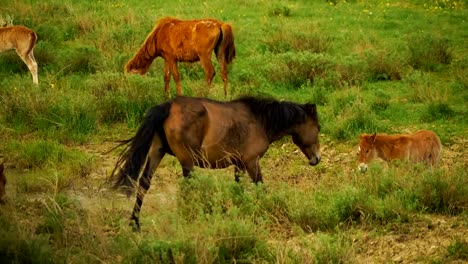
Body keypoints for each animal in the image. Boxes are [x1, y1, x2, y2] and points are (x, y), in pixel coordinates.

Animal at [110, 95, 322, 229]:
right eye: (318, 127)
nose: (317, 159)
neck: (261, 121)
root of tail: (168, 106)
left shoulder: (239, 165)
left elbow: (238, 188)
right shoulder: (252, 162)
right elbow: (260, 186)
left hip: (157, 152)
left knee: (143, 184)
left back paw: (135, 223)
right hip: (187, 162)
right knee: (188, 188)